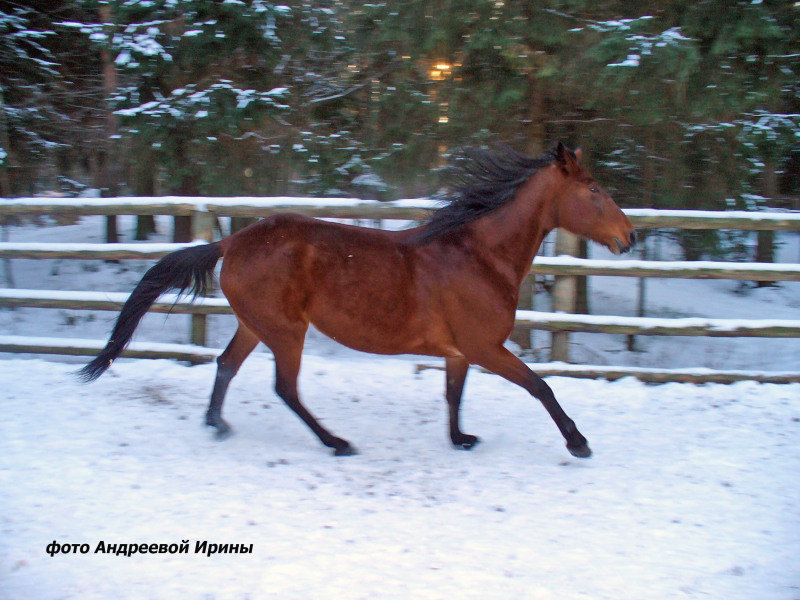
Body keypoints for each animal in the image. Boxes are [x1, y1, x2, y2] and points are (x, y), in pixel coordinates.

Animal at [79, 142, 632, 460]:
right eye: (594, 189)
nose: (628, 237)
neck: (478, 255)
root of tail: (232, 241)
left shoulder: (460, 352)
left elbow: (453, 395)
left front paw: (460, 440)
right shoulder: (485, 347)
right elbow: (540, 386)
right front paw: (578, 442)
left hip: (257, 325)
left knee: (226, 365)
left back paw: (218, 425)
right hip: (286, 331)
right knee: (285, 388)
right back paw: (336, 443)